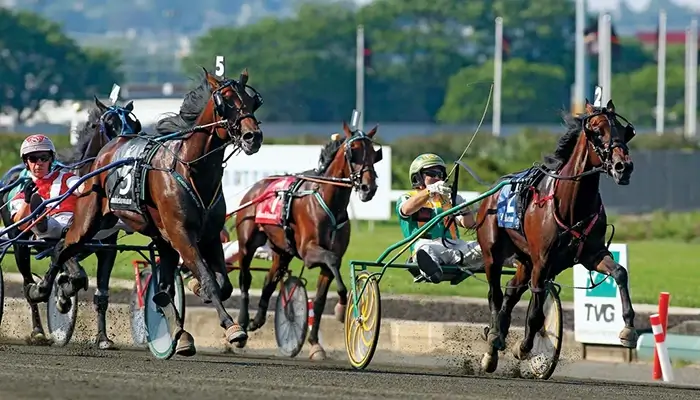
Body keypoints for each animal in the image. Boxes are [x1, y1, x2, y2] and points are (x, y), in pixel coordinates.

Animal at [0, 97, 141, 346]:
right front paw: (60, 295)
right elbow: (70, 272)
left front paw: (102, 337)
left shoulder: (107, 247)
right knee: (27, 283)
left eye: (135, 125)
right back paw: (38, 329)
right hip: (19, 244)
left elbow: (100, 292)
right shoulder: (62, 238)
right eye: (109, 125)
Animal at [25, 66, 266, 356]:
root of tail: (107, 150)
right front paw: (232, 327)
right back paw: (44, 289)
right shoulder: (181, 234)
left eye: (253, 101)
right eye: (226, 101)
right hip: (89, 219)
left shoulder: (208, 236)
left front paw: (194, 298)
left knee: (161, 287)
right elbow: (209, 278)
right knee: (62, 247)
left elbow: (223, 284)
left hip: (155, 236)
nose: (252, 137)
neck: (191, 167)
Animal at [234, 122, 382, 360]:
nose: (369, 188)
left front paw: (315, 344)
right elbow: (331, 260)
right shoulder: (309, 251)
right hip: (247, 243)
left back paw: (257, 319)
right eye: (353, 151)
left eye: (374, 153)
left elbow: (320, 300)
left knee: (270, 280)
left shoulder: (327, 259)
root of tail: (257, 187)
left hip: (282, 250)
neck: (329, 201)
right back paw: (241, 324)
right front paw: (342, 308)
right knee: (245, 278)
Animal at [478, 99, 636, 372]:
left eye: (624, 131)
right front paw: (524, 347)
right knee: (495, 294)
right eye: (596, 130)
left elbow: (619, 272)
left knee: (510, 292)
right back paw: (495, 339)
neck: (571, 203)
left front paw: (628, 329)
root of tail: (492, 191)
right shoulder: (543, 260)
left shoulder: (592, 254)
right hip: (492, 254)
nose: (622, 166)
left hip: (525, 260)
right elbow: (536, 312)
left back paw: (495, 343)